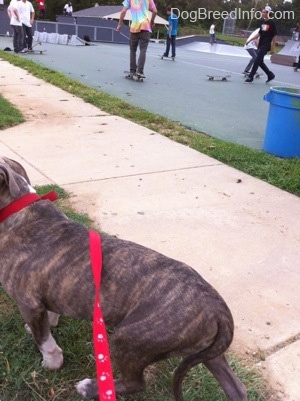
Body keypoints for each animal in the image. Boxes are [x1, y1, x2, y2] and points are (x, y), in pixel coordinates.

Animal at [0, 155, 247, 398]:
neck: (17, 210)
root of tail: (219, 310)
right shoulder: (47, 294)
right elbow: (49, 317)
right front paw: (41, 327)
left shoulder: (29, 304)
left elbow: (45, 341)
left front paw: (52, 363)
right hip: (209, 351)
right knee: (236, 387)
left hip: (129, 338)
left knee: (135, 382)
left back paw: (90, 388)